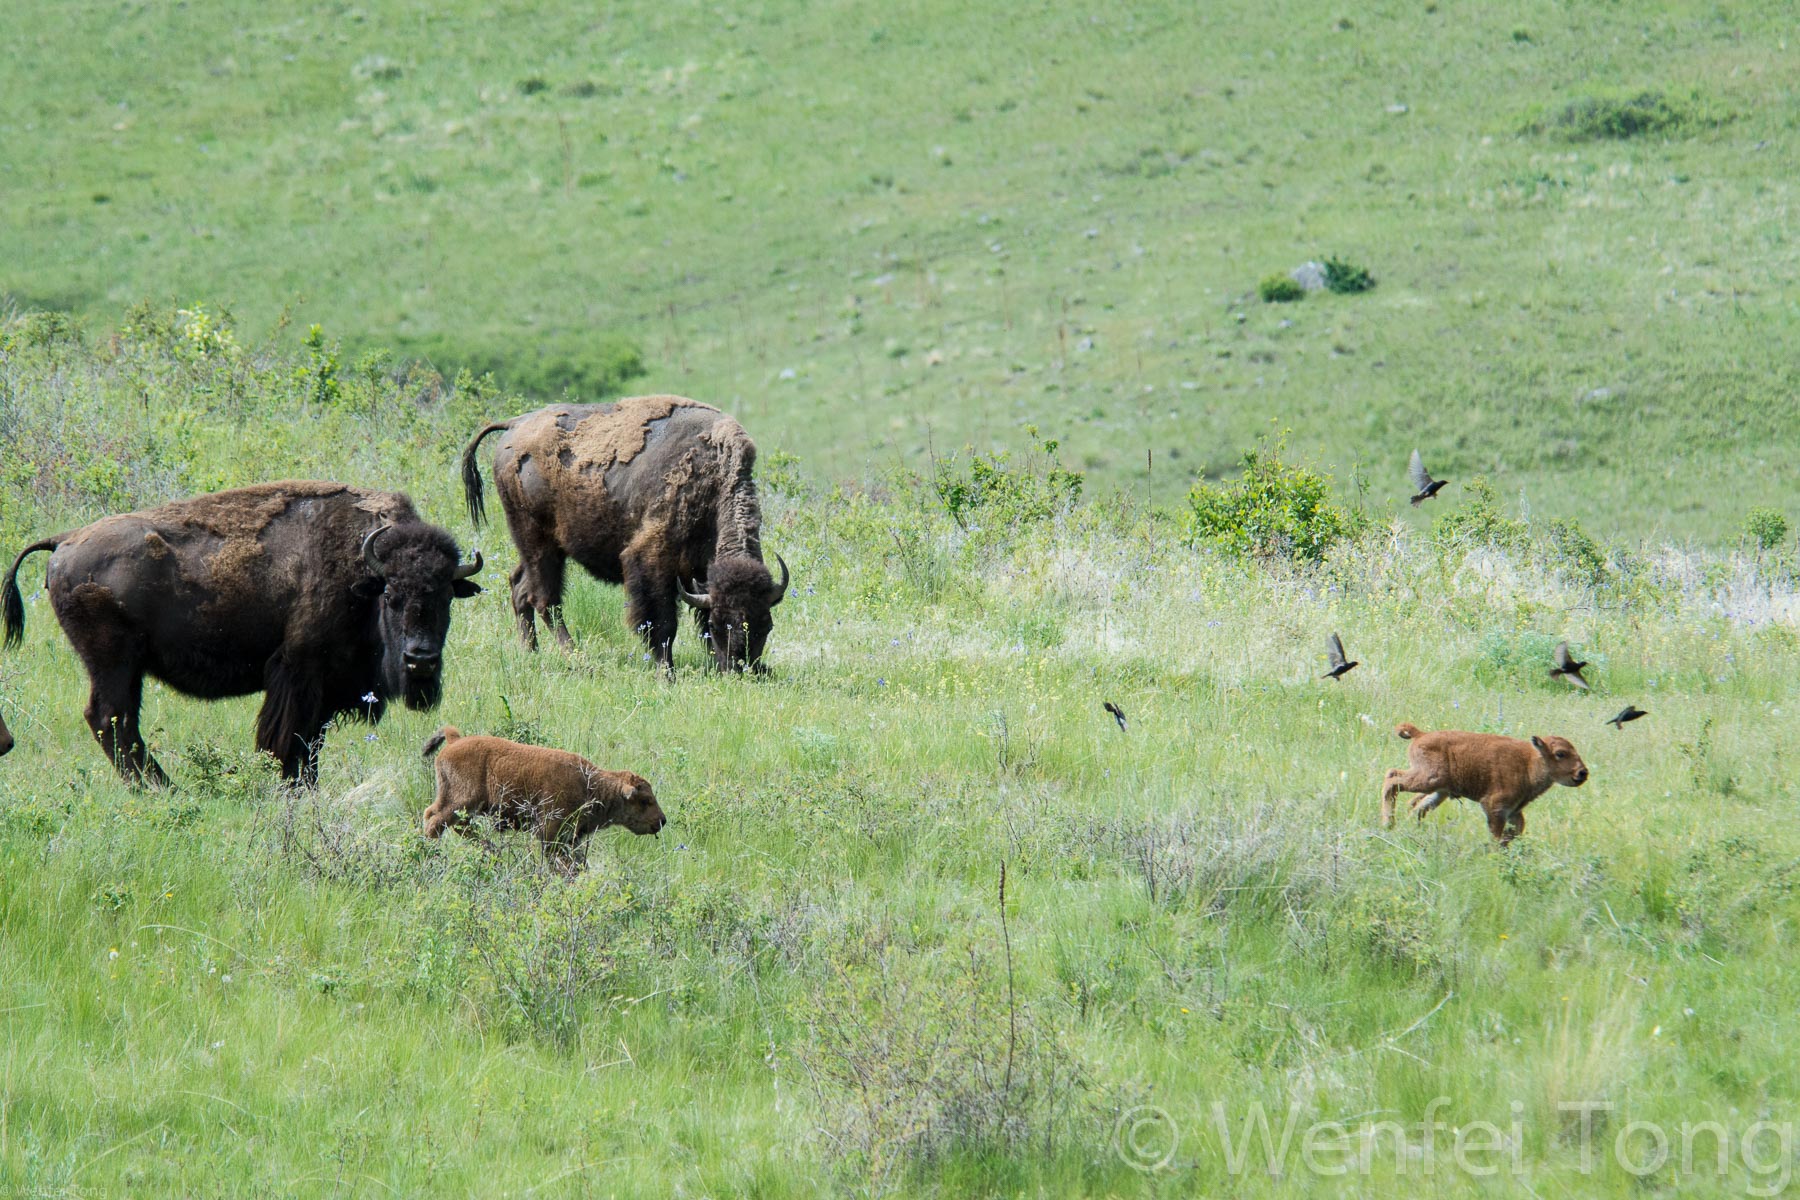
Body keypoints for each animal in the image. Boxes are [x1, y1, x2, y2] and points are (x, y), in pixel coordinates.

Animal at [1, 482, 486, 784]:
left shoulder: (326, 690)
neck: (361, 572)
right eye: (390, 595)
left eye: (446, 597)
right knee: (111, 720)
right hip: (114, 662)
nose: (420, 659)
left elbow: (312, 745)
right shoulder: (298, 674)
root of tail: (65, 540)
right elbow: (288, 742)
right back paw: (164, 788)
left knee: (117, 724)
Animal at [417, 726, 666, 877]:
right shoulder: (550, 832)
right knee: (437, 822)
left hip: (457, 802)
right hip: (462, 801)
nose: (662, 820)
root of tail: (454, 740)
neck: (590, 784)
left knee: (440, 818)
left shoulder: (571, 837)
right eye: (645, 800)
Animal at [457, 395, 788, 672]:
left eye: (767, 624)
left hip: (540, 548)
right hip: (538, 542)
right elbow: (662, 622)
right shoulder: (650, 559)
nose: (743, 668)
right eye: (722, 623)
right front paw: (666, 673)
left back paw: (531, 653)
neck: (713, 476)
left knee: (520, 587)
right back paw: (577, 659)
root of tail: (515, 424)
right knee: (545, 600)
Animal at [1375, 723, 1591, 845]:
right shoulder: (1494, 806)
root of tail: (1420, 734)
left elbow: (1515, 831)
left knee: (1415, 804)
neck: (1530, 761)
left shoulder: (1513, 812)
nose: (1582, 773)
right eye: (1560, 754)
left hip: (1438, 790)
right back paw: (1388, 823)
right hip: (1429, 779)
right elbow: (1496, 834)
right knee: (1392, 781)